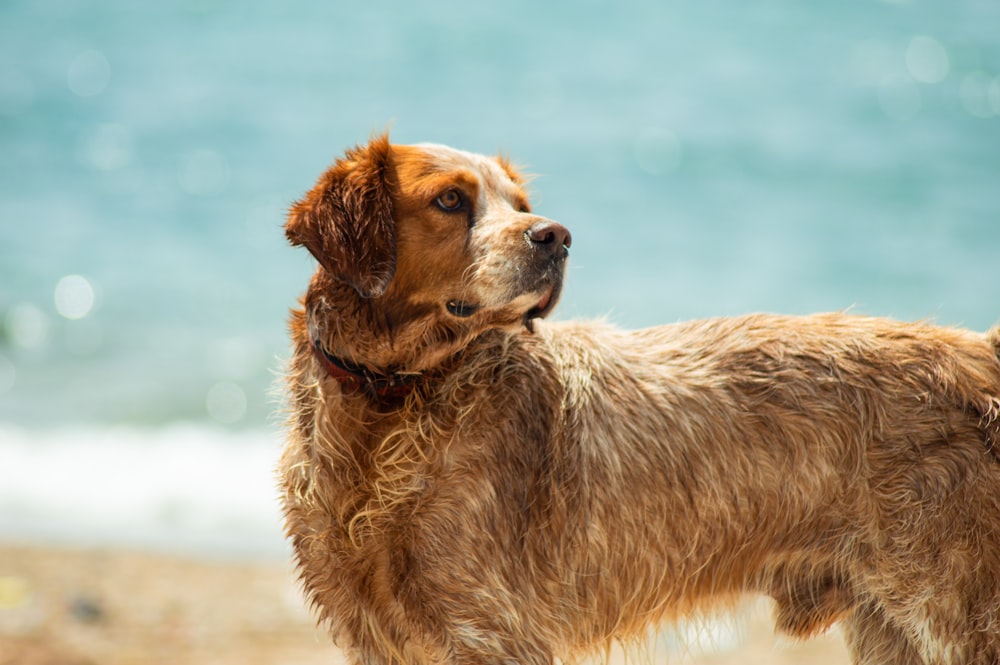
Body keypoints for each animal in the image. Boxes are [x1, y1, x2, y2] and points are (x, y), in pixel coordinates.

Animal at [278, 136, 1000, 664]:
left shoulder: (493, 632)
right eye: (451, 200)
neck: (394, 402)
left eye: (521, 202)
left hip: (954, 614)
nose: (555, 235)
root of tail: (981, 354)